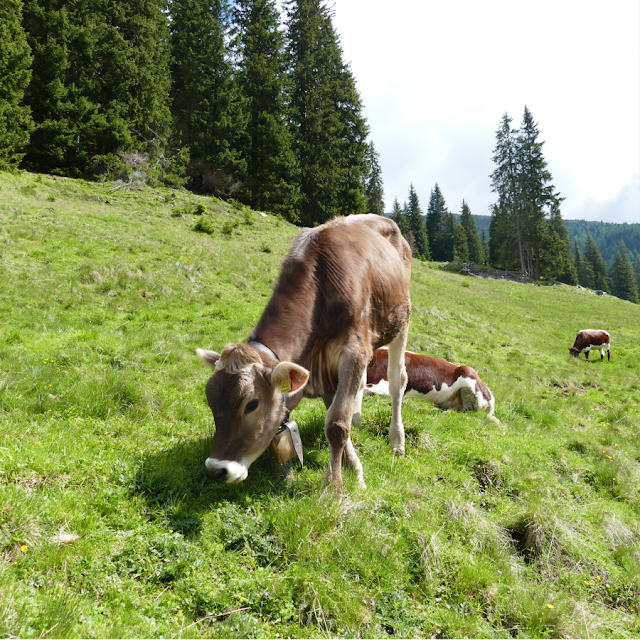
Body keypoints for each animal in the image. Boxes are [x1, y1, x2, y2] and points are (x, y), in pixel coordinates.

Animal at [195, 212, 412, 488]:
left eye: (252, 404)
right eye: (210, 400)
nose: (216, 470)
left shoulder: (354, 351)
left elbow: (336, 424)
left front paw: (334, 488)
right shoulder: (330, 366)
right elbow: (336, 415)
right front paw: (354, 469)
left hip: (401, 319)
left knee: (397, 380)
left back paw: (397, 441)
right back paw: (358, 418)